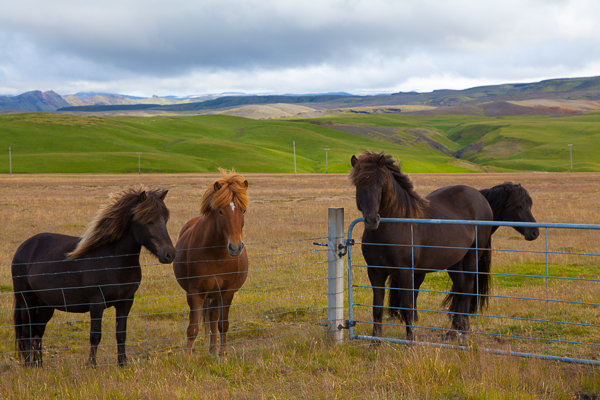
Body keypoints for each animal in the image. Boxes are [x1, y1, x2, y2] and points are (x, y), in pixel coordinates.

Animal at [11, 188, 176, 366]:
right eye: (149, 221)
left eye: (165, 220)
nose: (169, 254)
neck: (114, 260)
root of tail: (23, 247)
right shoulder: (96, 302)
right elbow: (95, 335)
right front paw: (91, 365)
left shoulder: (126, 302)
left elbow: (121, 334)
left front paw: (122, 364)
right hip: (27, 301)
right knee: (27, 332)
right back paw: (29, 364)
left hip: (46, 305)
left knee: (37, 332)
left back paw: (39, 365)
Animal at [173, 170, 248, 360]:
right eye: (221, 211)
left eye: (244, 210)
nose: (235, 247)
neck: (217, 256)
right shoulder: (195, 293)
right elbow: (192, 328)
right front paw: (188, 358)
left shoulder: (227, 293)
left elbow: (223, 325)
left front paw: (223, 355)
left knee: (214, 319)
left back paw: (214, 350)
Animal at [350, 152, 494, 342]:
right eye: (358, 184)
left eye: (380, 184)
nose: (372, 220)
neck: (395, 226)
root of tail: (481, 198)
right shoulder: (375, 272)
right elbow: (377, 308)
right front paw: (375, 342)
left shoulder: (406, 273)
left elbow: (407, 307)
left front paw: (410, 341)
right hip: (454, 262)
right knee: (460, 290)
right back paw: (454, 331)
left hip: (472, 256)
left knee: (468, 289)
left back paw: (463, 332)